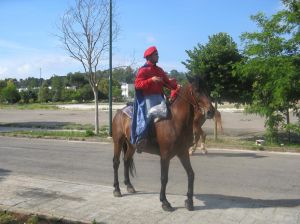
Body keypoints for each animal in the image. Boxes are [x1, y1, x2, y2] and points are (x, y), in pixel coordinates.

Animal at [111, 75, 214, 212]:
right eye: (197, 90)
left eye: (207, 89)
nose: (211, 111)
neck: (175, 121)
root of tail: (119, 111)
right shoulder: (165, 156)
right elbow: (164, 178)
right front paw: (165, 202)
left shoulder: (183, 152)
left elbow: (191, 174)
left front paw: (189, 201)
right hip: (118, 141)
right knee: (116, 163)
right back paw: (117, 189)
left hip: (131, 145)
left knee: (126, 161)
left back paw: (129, 186)